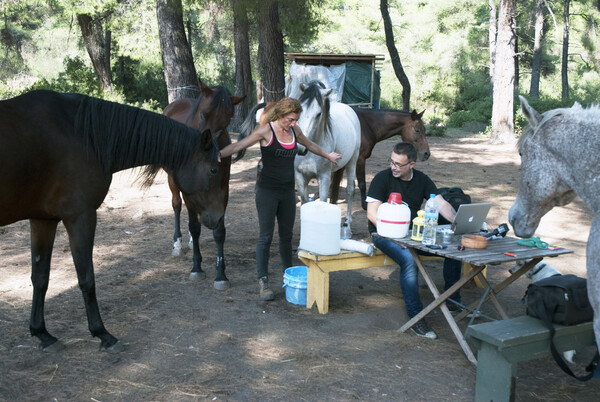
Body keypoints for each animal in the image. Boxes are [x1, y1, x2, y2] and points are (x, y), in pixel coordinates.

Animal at [0, 88, 225, 352]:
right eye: (213, 170)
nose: (219, 216)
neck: (81, 134)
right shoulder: (80, 216)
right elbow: (86, 278)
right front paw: (102, 333)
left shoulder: (43, 220)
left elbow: (40, 278)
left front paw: (42, 333)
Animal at [163, 82, 245, 288]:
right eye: (203, 114)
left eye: (227, 120)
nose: (211, 151)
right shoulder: (187, 191)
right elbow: (194, 226)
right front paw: (196, 267)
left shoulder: (223, 189)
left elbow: (219, 231)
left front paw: (221, 274)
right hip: (172, 181)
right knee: (177, 205)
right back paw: (178, 243)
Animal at [296, 81, 360, 226]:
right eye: (300, 109)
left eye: (319, 114)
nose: (300, 148)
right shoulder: (300, 176)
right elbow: (304, 202)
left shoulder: (324, 176)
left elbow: (323, 201)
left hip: (352, 162)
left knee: (350, 190)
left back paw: (348, 220)